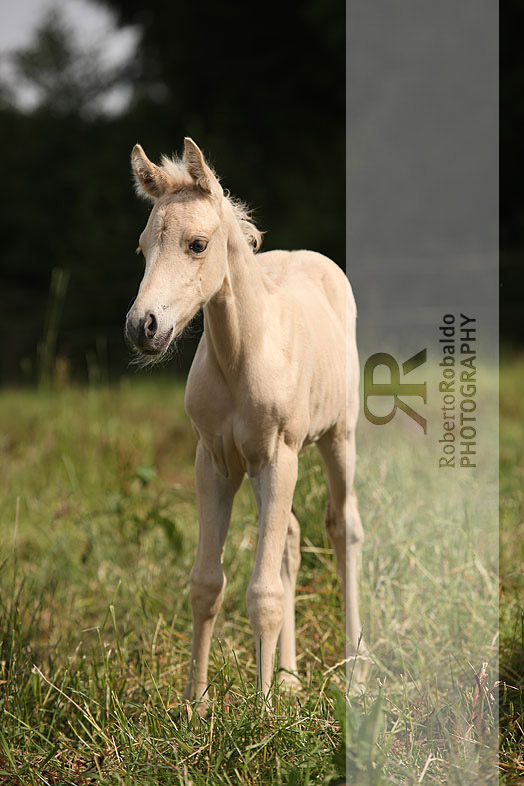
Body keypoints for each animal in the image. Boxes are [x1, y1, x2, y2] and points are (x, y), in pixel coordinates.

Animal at [125, 138, 366, 700]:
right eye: (143, 249)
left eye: (197, 245)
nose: (143, 327)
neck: (242, 356)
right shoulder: (214, 462)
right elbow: (206, 583)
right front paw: (195, 705)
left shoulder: (279, 458)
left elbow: (263, 594)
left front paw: (262, 712)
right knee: (292, 541)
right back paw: (292, 681)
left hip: (335, 437)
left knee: (344, 528)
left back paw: (355, 678)